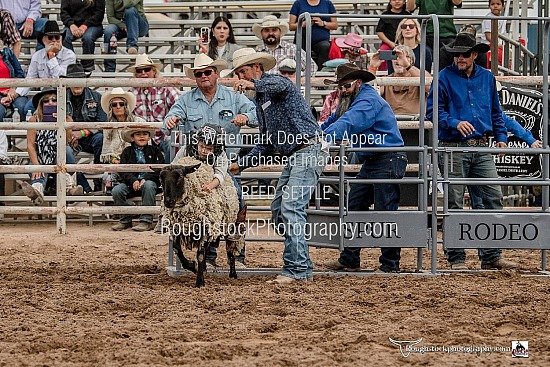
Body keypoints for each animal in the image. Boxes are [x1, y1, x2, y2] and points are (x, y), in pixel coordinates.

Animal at [158, 155, 247, 288]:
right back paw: (205, 269)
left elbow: (200, 255)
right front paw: (192, 267)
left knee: (230, 250)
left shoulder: (205, 228)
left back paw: (233, 274)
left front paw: (200, 281)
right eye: (161, 177)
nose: (168, 202)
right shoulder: (178, 228)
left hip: (229, 225)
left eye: (180, 176)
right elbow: (177, 249)